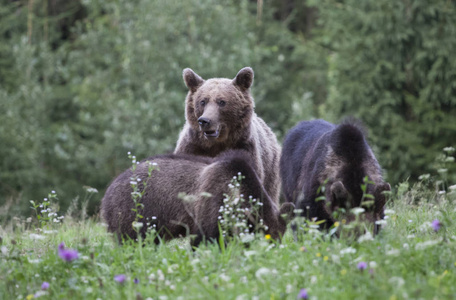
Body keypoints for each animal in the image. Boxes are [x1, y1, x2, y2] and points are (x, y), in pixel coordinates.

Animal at [175, 67, 282, 205]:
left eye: (222, 102)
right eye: (203, 101)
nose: (204, 121)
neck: (217, 143)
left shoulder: (244, 148)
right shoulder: (193, 147)